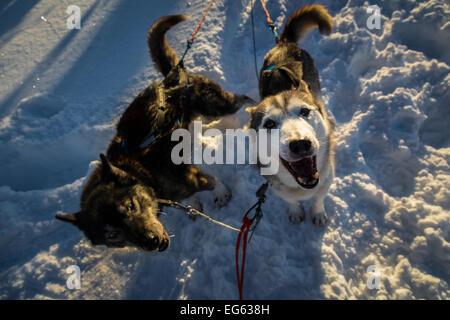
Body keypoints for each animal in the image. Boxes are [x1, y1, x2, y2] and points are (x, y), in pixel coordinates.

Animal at [55, 14, 253, 250]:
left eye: (130, 206)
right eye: (111, 234)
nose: (152, 242)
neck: (142, 173)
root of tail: (172, 75)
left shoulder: (192, 177)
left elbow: (213, 181)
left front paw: (221, 193)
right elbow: (188, 198)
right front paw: (193, 204)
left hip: (217, 106)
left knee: (242, 99)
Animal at [246, 4, 334, 225]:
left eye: (305, 111)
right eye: (269, 124)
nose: (301, 144)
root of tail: (283, 43)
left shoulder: (327, 178)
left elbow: (319, 198)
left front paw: (317, 212)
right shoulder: (277, 188)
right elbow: (290, 200)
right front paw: (295, 211)